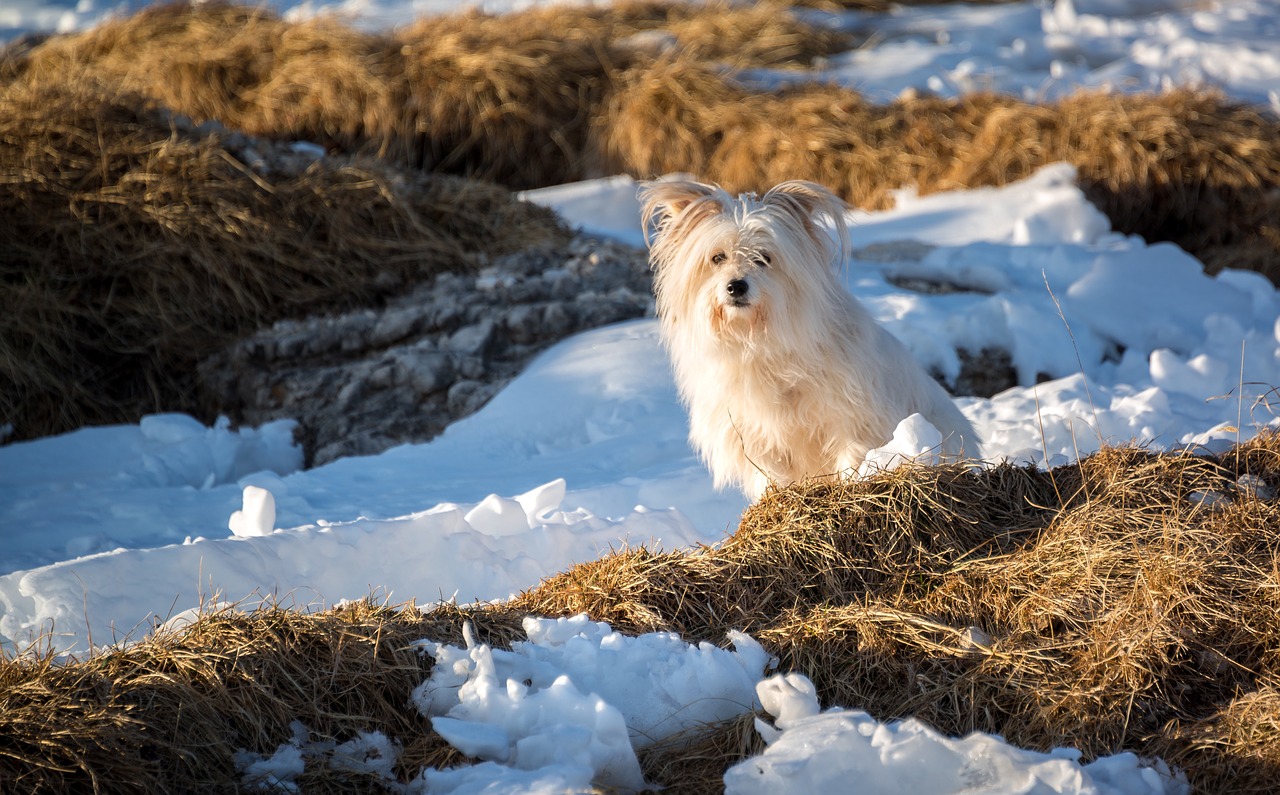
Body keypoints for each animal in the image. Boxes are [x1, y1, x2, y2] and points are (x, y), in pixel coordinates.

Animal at [640, 177, 977, 496]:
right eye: (717, 258)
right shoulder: (753, 439)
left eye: (764, 258)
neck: (759, 341)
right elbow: (772, 477)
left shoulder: (853, 422)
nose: (736, 286)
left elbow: (851, 461)